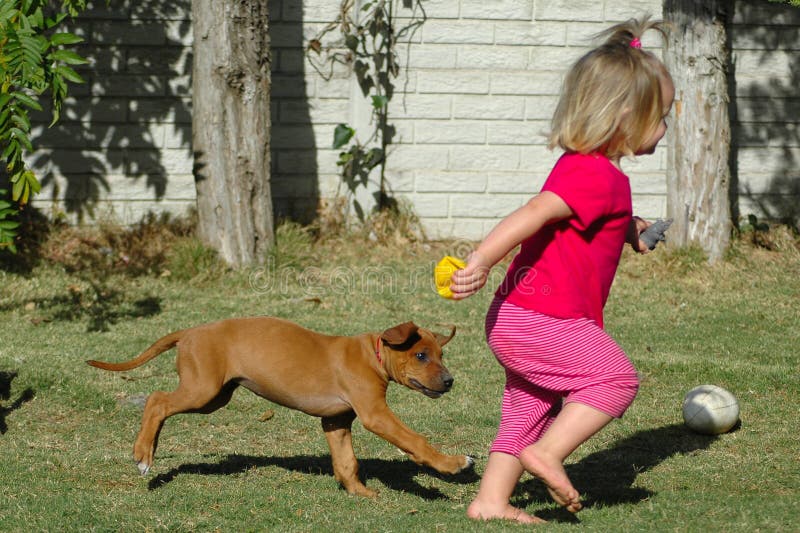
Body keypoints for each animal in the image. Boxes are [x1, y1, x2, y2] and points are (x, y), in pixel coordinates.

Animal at [86, 316, 476, 494]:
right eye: (421, 355)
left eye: (442, 355)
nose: (449, 382)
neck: (373, 354)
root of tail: (190, 332)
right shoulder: (376, 415)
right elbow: (415, 441)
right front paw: (452, 464)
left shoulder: (336, 422)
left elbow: (346, 462)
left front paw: (359, 492)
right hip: (202, 389)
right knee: (156, 400)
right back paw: (142, 454)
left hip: (214, 396)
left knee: (161, 405)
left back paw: (148, 451)